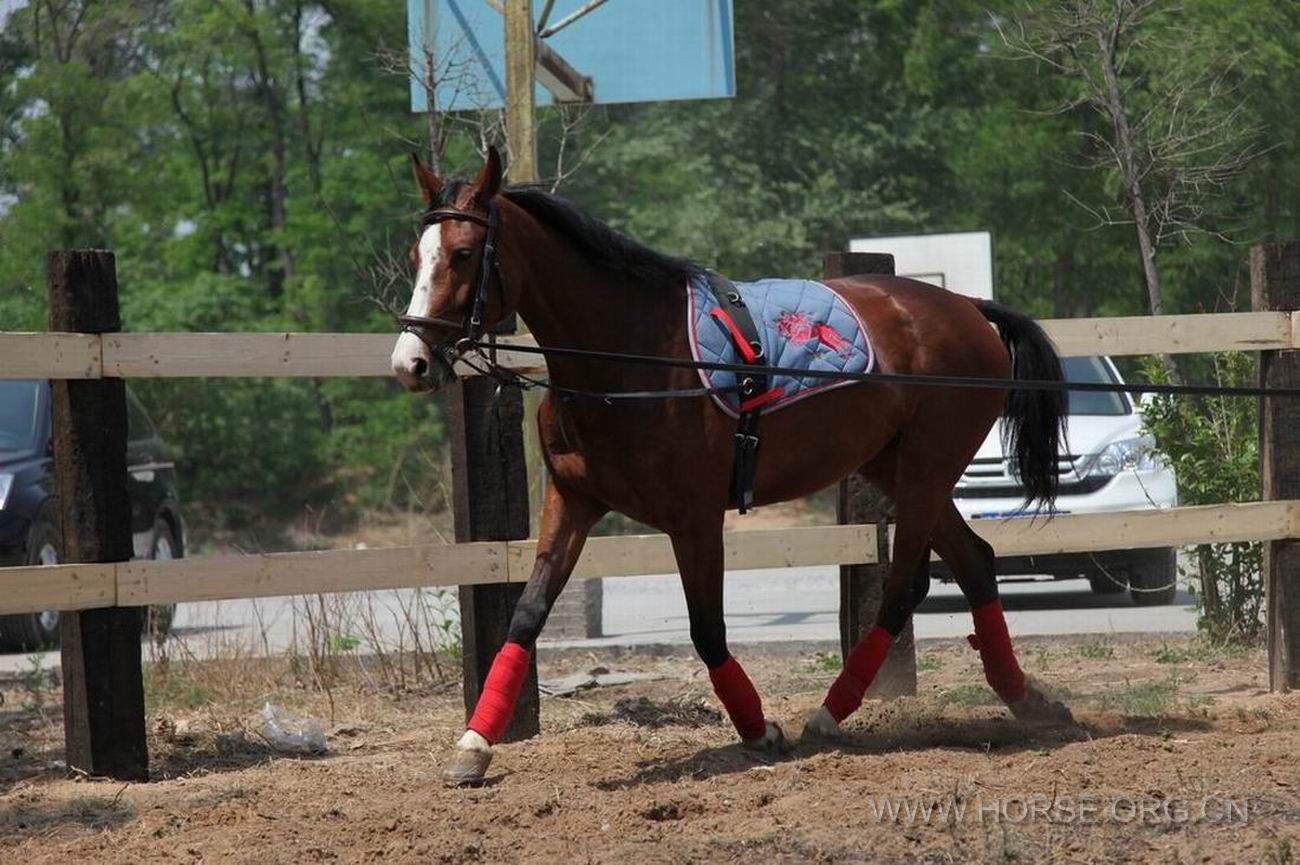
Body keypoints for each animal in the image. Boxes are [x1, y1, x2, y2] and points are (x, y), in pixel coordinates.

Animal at [390, 148, 1071, 780]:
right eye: (416, 256)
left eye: (463, 255)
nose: (410, 362)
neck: (633, 358)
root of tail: (968, 308)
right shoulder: (572, 502)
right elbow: (527, 616)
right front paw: (474, 745)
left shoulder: (694, 519)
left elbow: (707, 629)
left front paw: (757, 728)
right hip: (896, 467)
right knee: (974, 561)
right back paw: (1026, 698)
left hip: (927, 468)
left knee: (908, 584)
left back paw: (831, 713)